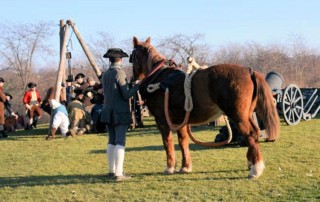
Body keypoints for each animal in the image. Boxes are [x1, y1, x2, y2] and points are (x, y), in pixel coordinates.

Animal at [131, 36, 278, 178]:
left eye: (132, 57)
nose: (133, 78)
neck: (159, 79)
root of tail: (249, 71)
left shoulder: (162, 121)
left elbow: (168, 142)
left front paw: (170, 167)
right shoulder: (181, 122)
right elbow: (183, 141)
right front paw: (185, 167)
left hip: (238, 116)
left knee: (251, 134)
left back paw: (255, 169)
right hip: (246, 115)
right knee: (255, 133)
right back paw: (251, 163)